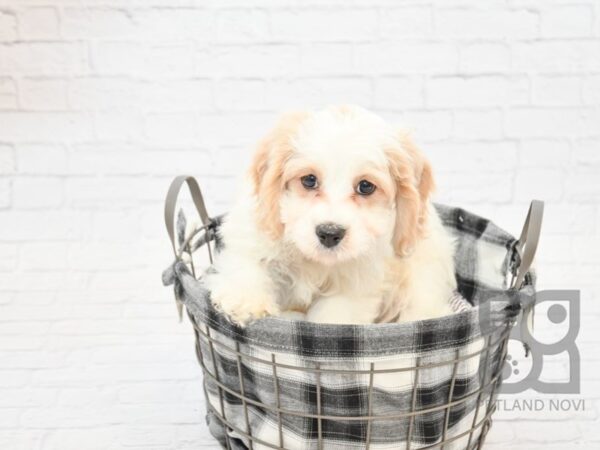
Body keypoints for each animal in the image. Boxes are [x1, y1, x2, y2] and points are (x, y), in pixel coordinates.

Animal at [205, 104, 454, 324]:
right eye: (309, 180)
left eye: (366, 186)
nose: (329, 233)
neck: (314, 261)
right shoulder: (251, 231)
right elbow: (246, 263)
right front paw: (246, 303)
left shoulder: (356, 286)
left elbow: (334, 317)